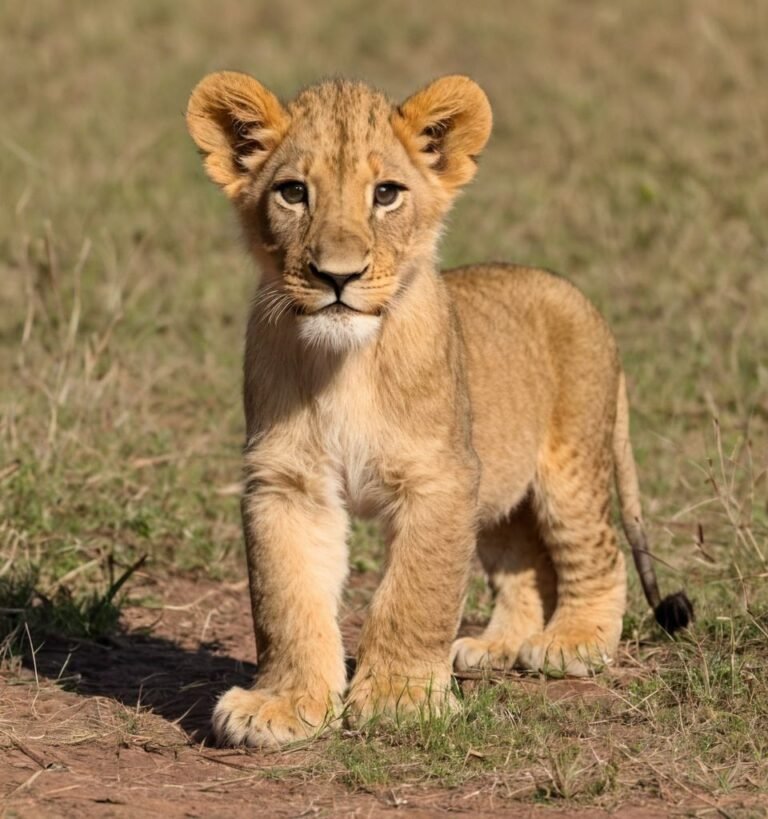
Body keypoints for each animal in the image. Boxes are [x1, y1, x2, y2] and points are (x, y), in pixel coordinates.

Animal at [186, 71, 692, 747]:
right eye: (293, 192)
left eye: (386, 194)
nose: (337, 276)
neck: (345, 363)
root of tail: (574, 293)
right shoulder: (286, 482)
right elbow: (285, 600)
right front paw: (285, 704)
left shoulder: (440, 477)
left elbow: (414, 593)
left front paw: (400, 698)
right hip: (499, 490)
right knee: (527, 566)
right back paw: (496, 647)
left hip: (570, 468)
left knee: (598, 553)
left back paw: (571, 643)